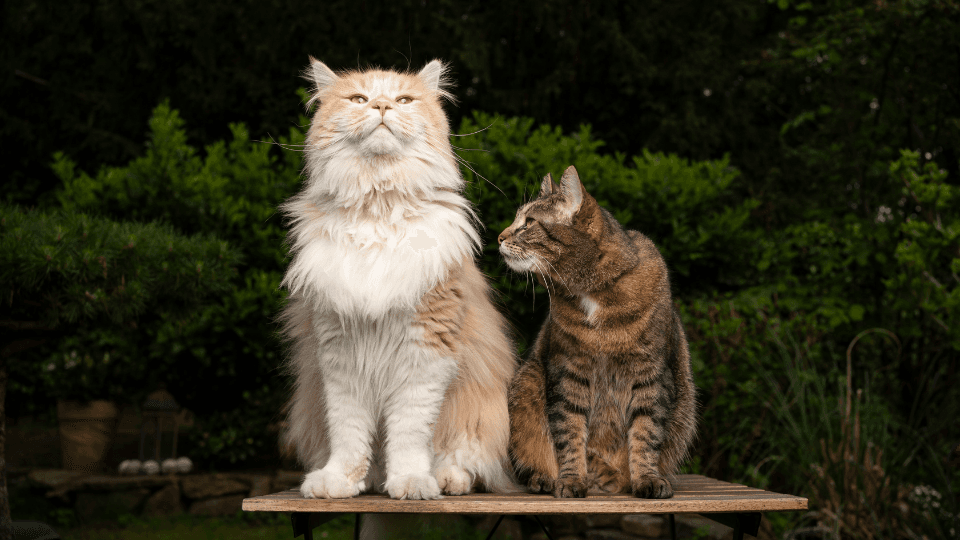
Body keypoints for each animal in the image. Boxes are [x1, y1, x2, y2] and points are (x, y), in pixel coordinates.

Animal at [278, 57, 516, 500]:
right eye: (359, 99)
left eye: (404, 100)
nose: (383, 106)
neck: (379, 209)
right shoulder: (339, 352)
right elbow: (349, 434)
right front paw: (340, 481)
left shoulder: (425, 352)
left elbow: (408, 434)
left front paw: (410, 483)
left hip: (481, 416)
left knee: (467, 460)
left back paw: (446, 480)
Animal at [498, 165, 692, 498]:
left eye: (529, 223)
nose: (498, 237)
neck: (593, 293)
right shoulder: (568, 372)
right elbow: (570, 432)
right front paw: (572, 480)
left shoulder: (651, 374)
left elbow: (646, 432)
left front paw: (647, 479)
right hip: (526, 384)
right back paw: (548, 478)